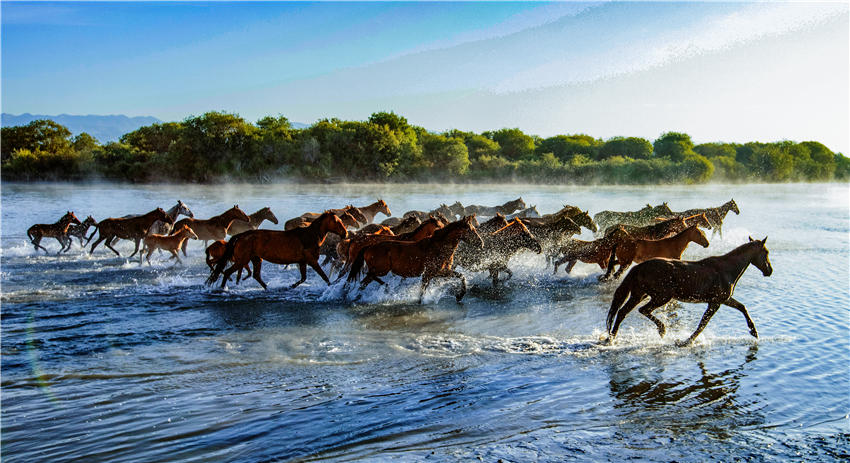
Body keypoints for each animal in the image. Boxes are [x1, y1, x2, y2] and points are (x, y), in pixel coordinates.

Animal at [207, 211, 346, 290]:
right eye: (337, 221)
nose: (345, 233)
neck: (310, 236)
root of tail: (241, 235)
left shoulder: (302, 262)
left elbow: (304, 278)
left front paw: (291, 286)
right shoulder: (312, 261)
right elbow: (323, 276)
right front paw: (331, 284)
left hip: (256, 259)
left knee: (256, 275)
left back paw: (267, 288)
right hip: (242, 260)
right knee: (227, 272)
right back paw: (222, 288)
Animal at [342, 218, 480, 304]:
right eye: (471, 230)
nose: (481, 242)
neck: (439, 247)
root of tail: (368, 247)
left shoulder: (441, 272)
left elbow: (461, 276)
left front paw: (459, 296)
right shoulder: (429, 273)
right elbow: (422, 291)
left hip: (379, 270)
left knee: (366, 280)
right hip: (381, 270)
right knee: (365, 280)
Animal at [604, 237, 768, 346]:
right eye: (766, 253)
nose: (769, 270)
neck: (727, 269)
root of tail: (638, 268)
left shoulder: (723, 300)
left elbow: (742, 307)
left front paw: (754, 331)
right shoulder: (715, 303)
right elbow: (702, 324)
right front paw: (686, 341)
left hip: (639, 295)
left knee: (622, 312)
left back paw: (610, 338)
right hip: (661, 297)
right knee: (642, 310)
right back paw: (661, 330)